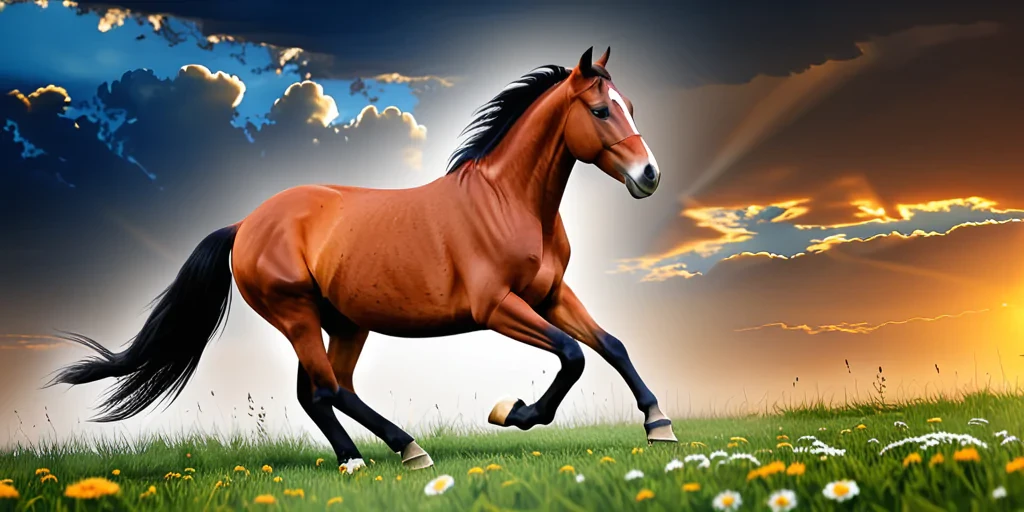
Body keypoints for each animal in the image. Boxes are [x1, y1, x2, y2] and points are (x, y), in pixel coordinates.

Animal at [51, 47, 675, 471]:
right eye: (600, 111)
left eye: (629, 105)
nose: (649, 175)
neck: (507, 203)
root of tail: (244, 224)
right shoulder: (497, 307)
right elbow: (573, 355)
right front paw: (512, 412)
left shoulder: (551, 294)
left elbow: (610, 345)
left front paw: (659, 425)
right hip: (297, 315)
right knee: (330, 390)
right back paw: (397, 452)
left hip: (343, 322)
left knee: (322, 391)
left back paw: (372, 453)